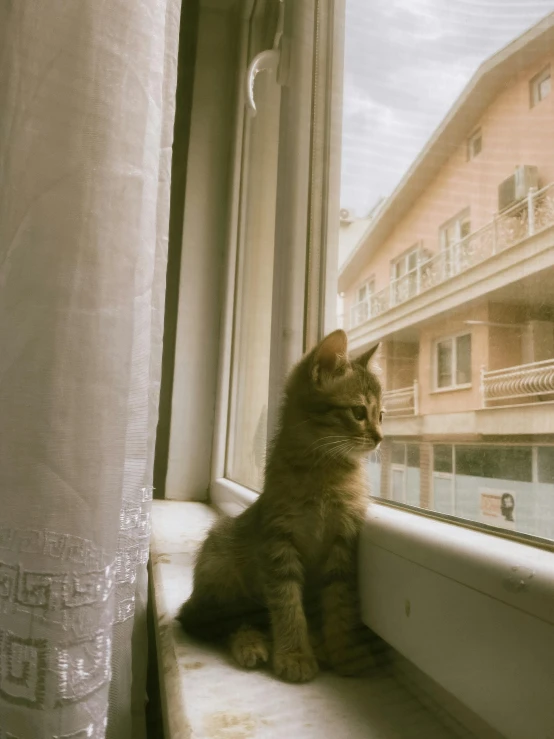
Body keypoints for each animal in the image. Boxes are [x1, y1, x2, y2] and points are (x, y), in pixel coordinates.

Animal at [177, 330, 380, 684]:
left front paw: (345, 651)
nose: (381, 437)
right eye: (358, 412)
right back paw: (252, 644)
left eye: (382, 415)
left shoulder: (343, 544)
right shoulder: (278, 544)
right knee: (226, 622)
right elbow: (287, 605)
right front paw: (295, 655)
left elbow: (339, 603)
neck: (323, 471)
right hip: (220, 563)